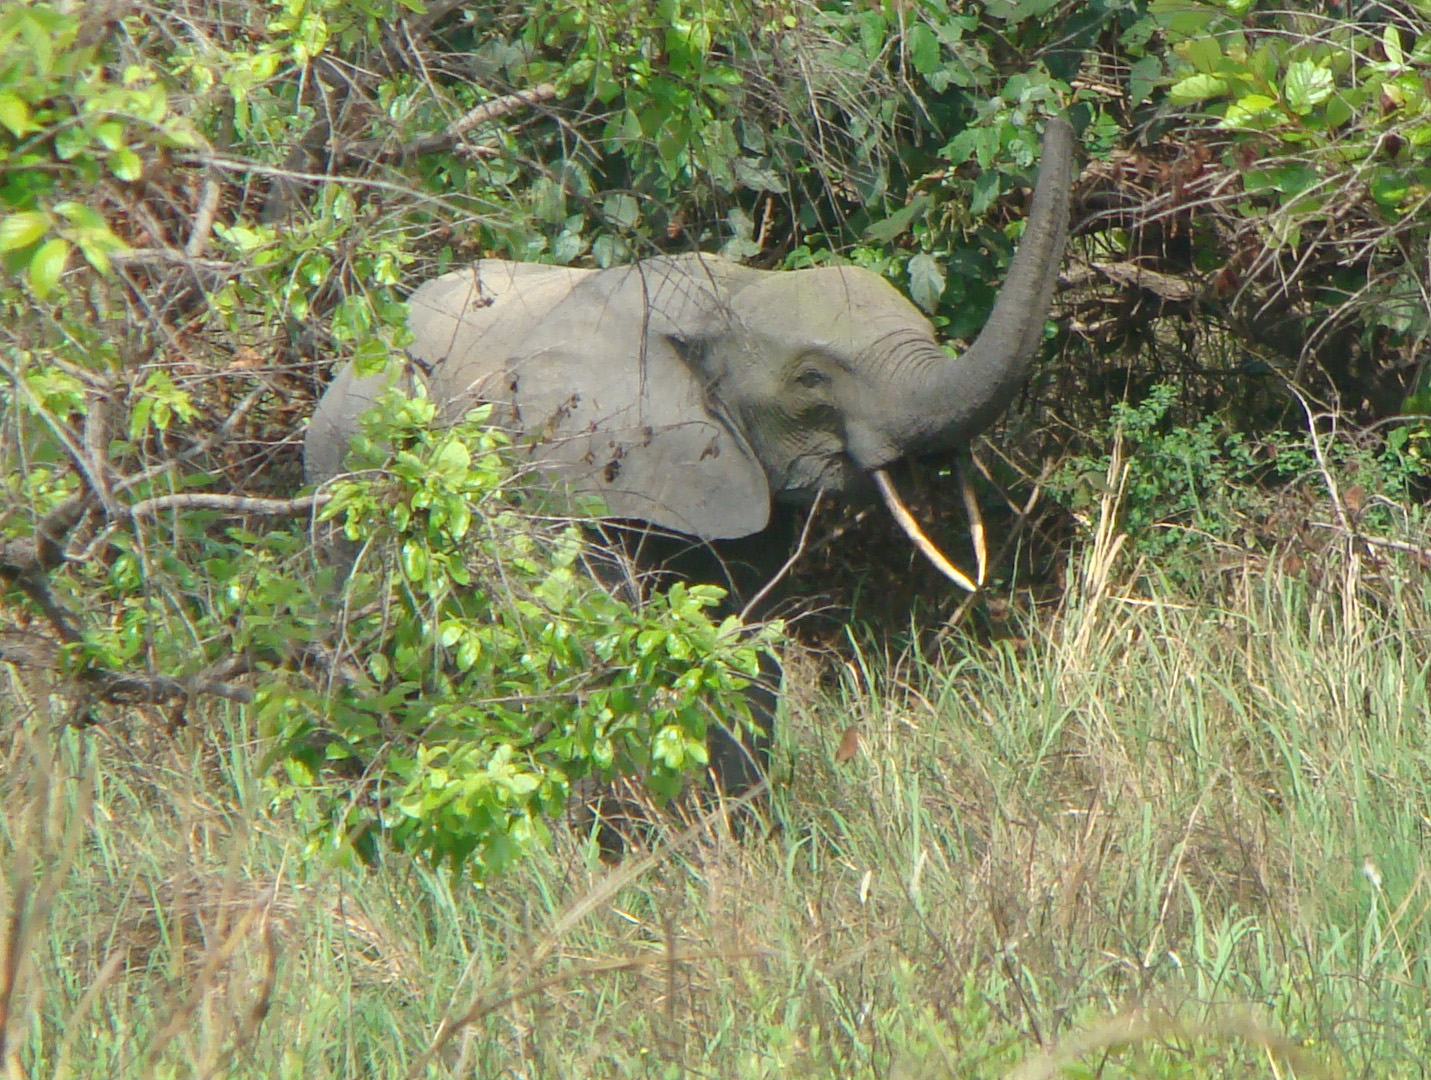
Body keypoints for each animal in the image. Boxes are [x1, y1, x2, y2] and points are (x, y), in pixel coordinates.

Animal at [301, 115, 1076, 795]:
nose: (1059, 115)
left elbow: (739, 640)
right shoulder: (571, 477)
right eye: (811, 379)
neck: (726, 299)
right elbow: (603, 641)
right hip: (344, 493)